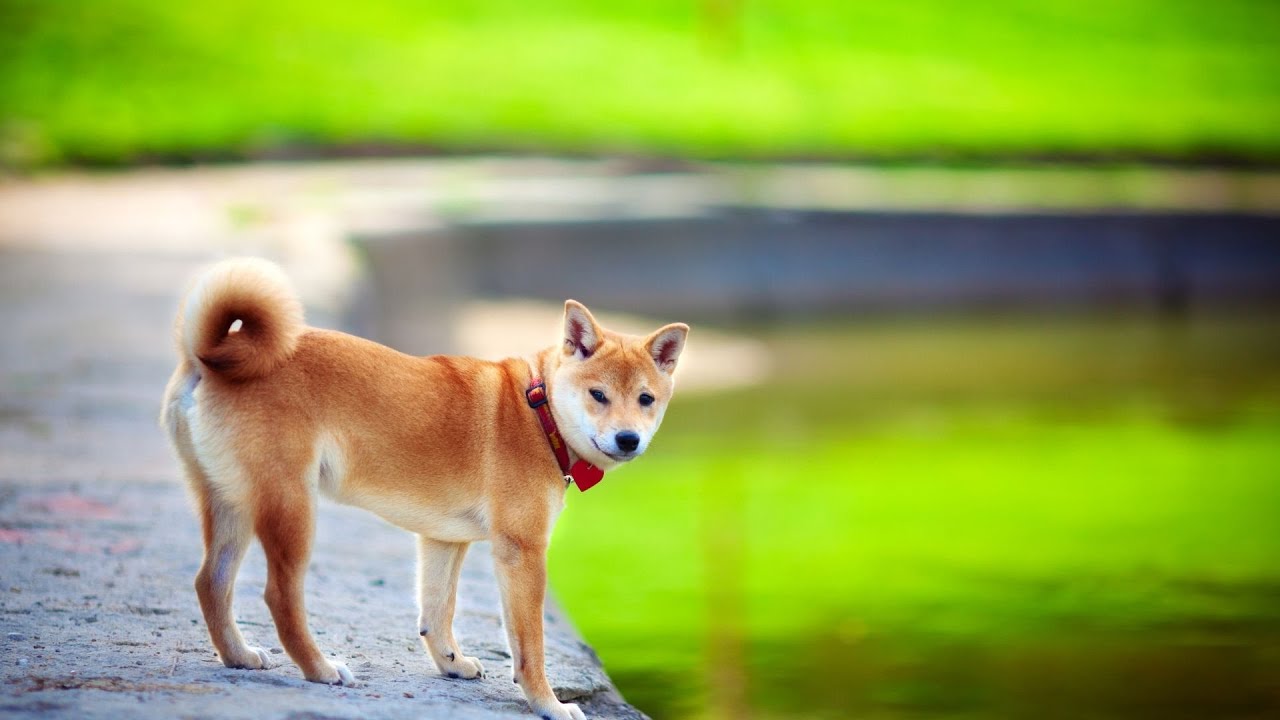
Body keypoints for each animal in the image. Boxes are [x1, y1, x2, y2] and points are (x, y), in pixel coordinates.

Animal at [162, 254, 691, 712]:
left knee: (211, 582)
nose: (628, 439)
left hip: (230, 503)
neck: (537, 410)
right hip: (290, 508)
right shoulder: (521, 551)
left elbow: (437, 614)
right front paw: (549, 705)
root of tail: (206, 357)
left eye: (645, 399)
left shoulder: (443, 540)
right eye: (598, 395)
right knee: (278, 597)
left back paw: (239, 655)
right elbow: (529, 646)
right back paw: (320, 668)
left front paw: (451, 664)